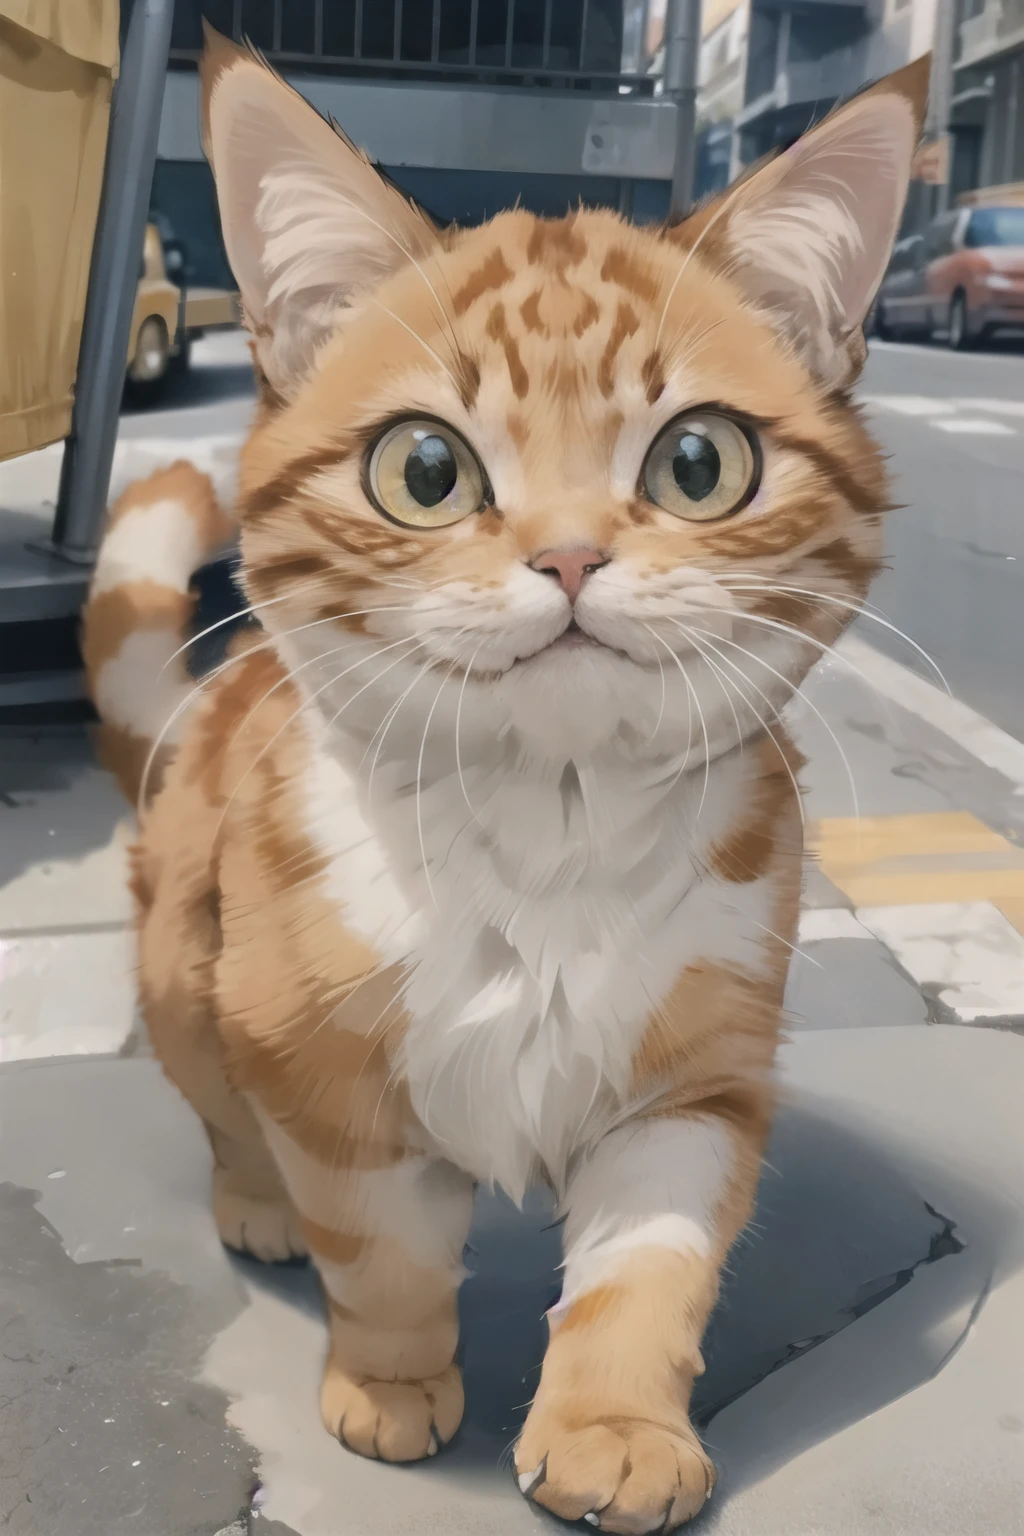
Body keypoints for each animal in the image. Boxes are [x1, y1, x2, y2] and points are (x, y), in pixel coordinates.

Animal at [80, 36, 927, 1536]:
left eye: (698, 462)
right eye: (425, 470)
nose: (573, 554)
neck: (552, 834)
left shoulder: (692, 1086)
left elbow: (645, 1278)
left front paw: (613, 1431)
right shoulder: (323, 1077)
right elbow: (385, 1255)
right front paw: (393, 1384)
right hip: (188, 968)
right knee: (218, 1104)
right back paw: (256, 1205)